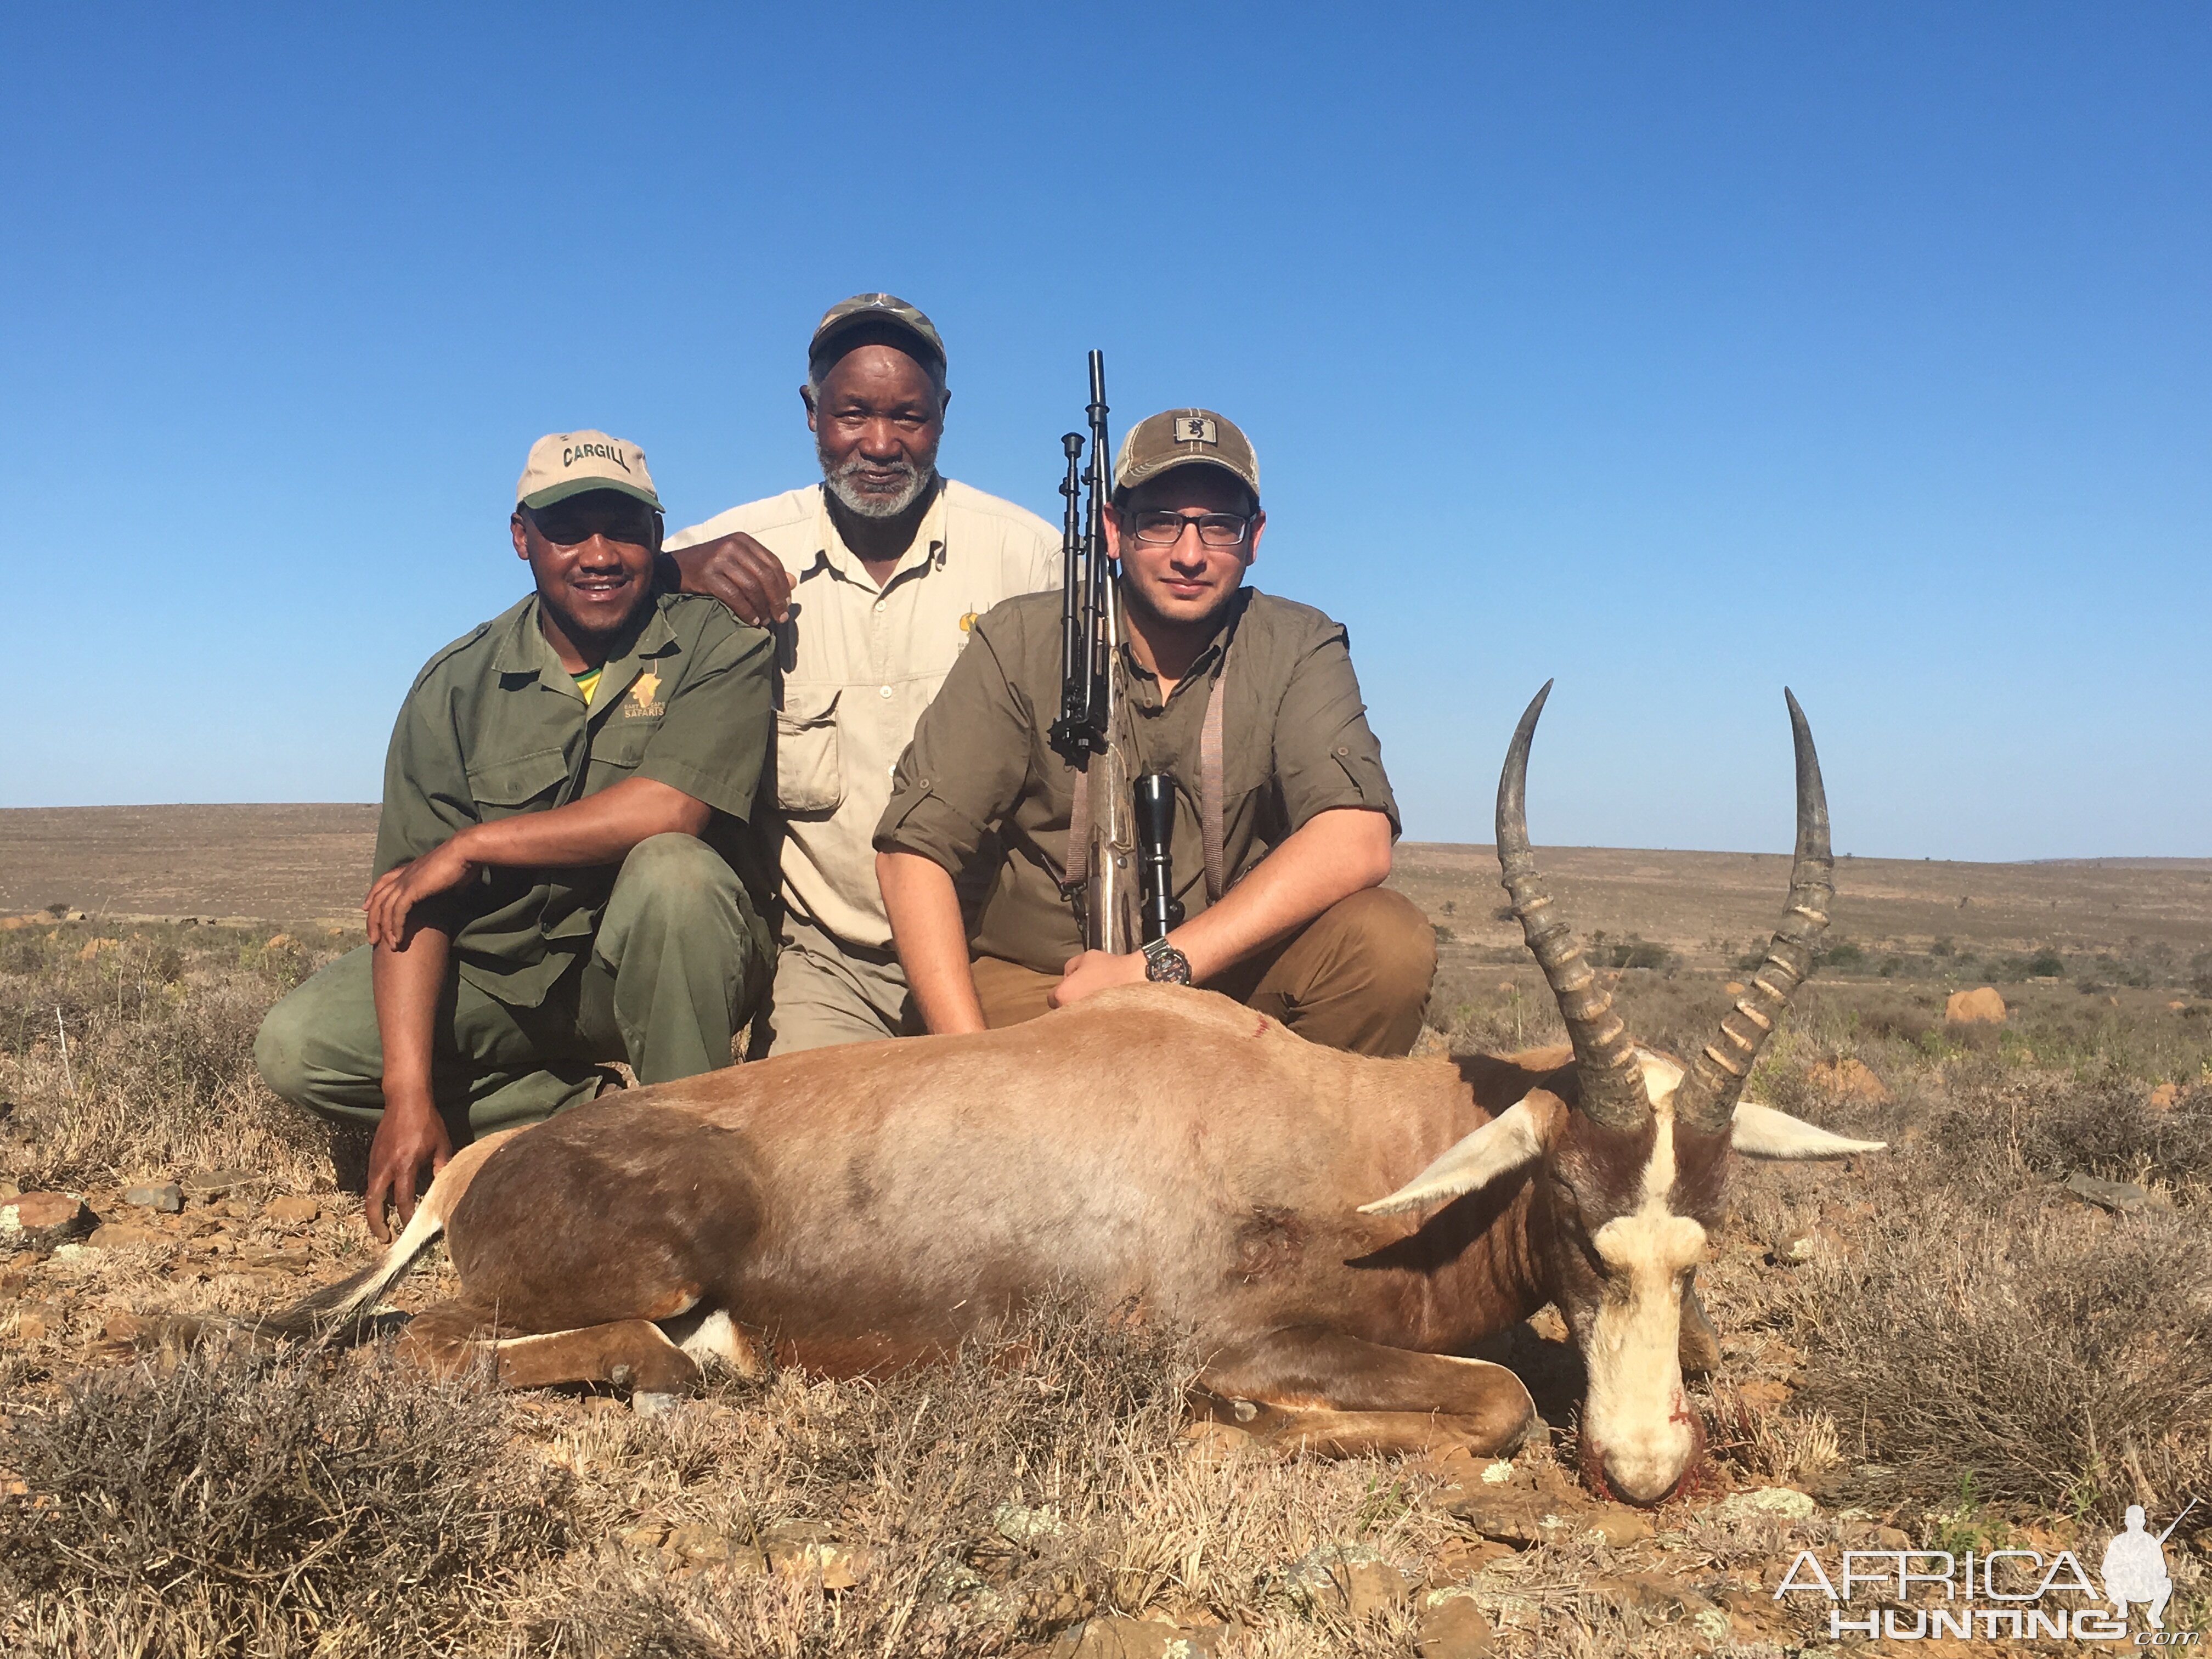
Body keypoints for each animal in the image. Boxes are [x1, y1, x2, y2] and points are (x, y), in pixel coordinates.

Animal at [267, 690, 1876, 1504]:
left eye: (1701, 1242)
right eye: (1576, 1219)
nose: (1645, 1466)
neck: (1344, 1134)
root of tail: (478, 1167)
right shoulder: (1239, 1333)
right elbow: (1485, 1403)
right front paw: (1241, 1427)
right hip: (636, 1263)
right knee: (441, 1346)